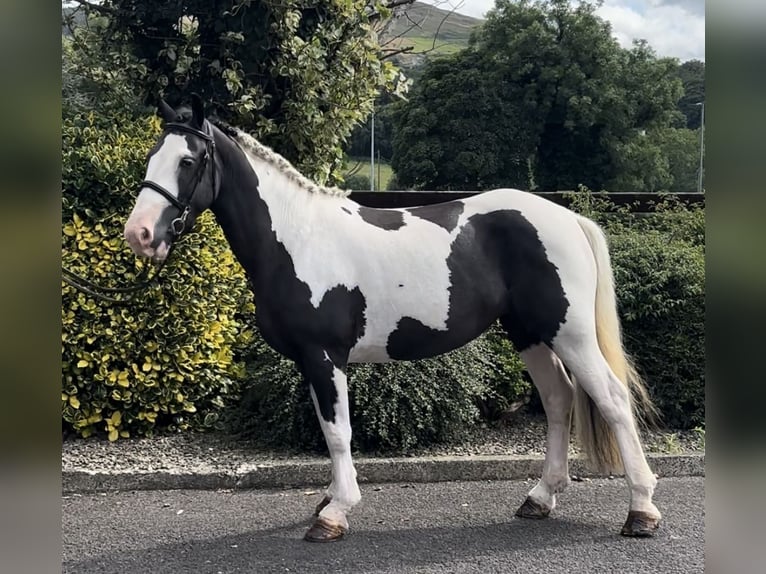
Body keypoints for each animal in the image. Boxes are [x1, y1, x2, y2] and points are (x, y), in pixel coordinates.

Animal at [124, 95, 660, 544]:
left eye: (188, 161)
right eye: (152, 157)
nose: (140, 234)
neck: (296, 239)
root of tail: (569, 218)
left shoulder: (324, 355)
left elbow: (338, 432)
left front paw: (335, 513)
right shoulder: (310, 360)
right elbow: (329, 430)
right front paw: (329, 498)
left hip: (570, 334)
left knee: (613, 400)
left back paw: (641, 510)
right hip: (530, 333)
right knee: (558, 400)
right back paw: (540, 498)